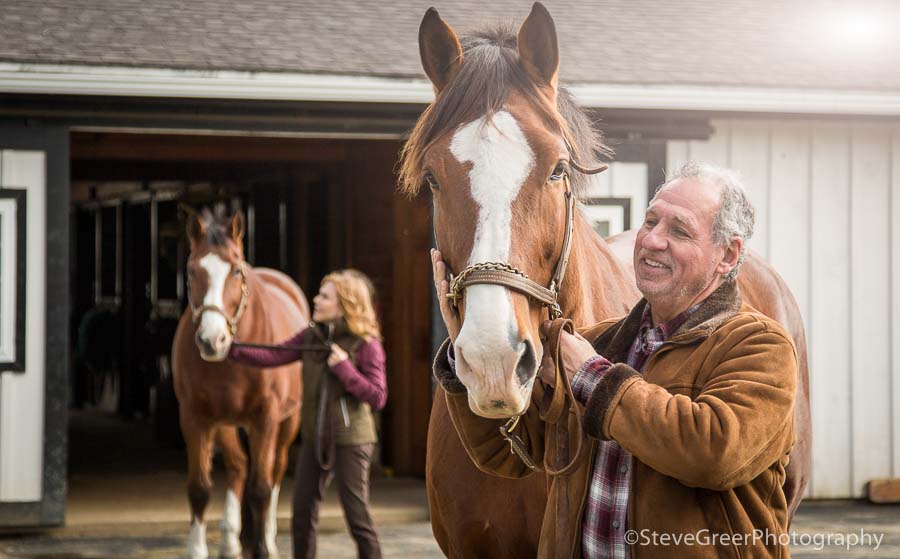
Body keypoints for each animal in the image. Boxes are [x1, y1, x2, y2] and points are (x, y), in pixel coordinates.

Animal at [172, 209, 310, 559]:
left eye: (236, 270)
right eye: (192, 270)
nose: (212, 340)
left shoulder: (266, 419)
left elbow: (261, 488)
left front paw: (263, 549)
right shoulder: (195, 418)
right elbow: (199, 488)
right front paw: (197, 550)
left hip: (287, 422)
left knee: (275, 471)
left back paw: (269, 537)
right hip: (225, 423)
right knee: (238, 465)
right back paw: (231, 539)